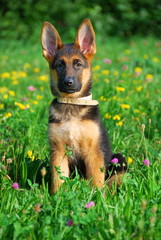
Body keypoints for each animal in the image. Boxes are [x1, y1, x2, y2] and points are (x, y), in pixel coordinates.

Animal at [41, 19, 126, 195]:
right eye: (60, 65)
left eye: (78, 64)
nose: (68, 82)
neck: (72, 104)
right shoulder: (58, 152)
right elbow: (58, 179)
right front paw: (57, 197)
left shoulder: (93, 152)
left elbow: (96, 179)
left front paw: (97, 197)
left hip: (119, 159)